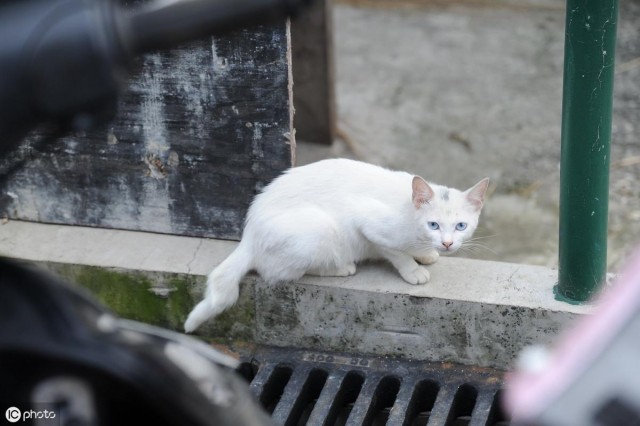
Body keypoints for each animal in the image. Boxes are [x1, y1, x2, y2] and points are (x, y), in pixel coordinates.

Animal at [185, 159, 490, 332]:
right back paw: (341, 268)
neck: (409, 213)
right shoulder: (367, 224)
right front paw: (413, 269)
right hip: (317, 230)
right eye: (434, 225)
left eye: (461, 226)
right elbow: (394, 252)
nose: (447, 243)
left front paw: (426, 255)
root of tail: (249, 235)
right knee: (279, 272)